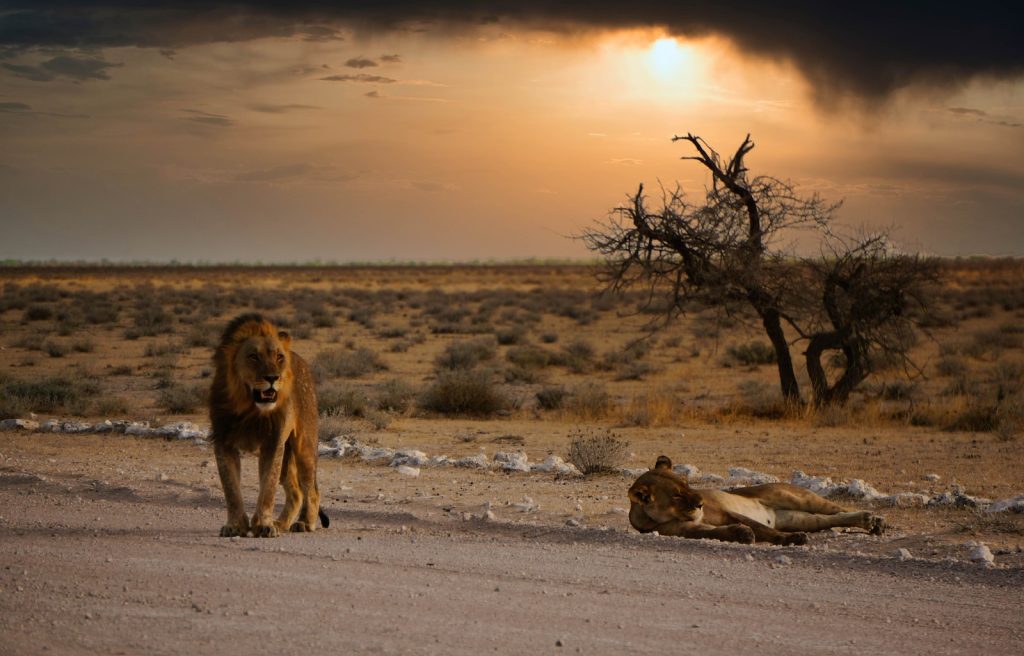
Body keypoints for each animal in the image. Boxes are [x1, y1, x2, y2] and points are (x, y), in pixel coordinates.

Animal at [209, 313, 328, 538]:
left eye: (279, 357)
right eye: (253, 356)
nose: (273, 378)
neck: (249, 408)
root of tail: (300, 359)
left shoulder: (273, 442)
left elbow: (268, 487)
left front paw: (263, 525)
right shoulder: (223, 442)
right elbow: (231, 489)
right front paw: (236, 526)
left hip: (304, 447)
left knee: (311, 489)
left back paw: (304, 523)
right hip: (287, 455)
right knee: (296, 492)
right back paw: (281, 523)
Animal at [627, 456, 884, 545]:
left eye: (687, 484)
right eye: (676, 495)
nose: (700, 504)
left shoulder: (727, 511)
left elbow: (762, 528)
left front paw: (790, 540)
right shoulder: (685, 530)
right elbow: (716, 532)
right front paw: (741, 534)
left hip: (797, 498)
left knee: (838, 509)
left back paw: (874, 520)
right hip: (799, 518)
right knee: (829, 519)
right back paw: (870, 522)